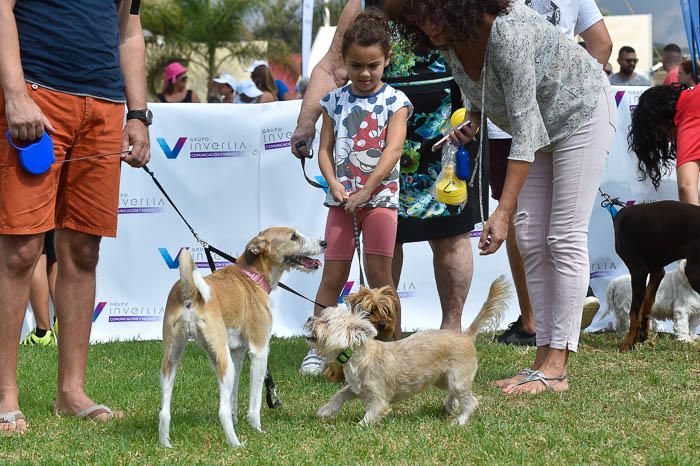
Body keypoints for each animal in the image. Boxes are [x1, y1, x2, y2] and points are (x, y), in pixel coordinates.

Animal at [159, 227, 326, 448]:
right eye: (293, 237)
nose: (324, 243)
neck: (252, 276)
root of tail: (192, 292)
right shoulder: (259, 351)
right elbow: (255, 401)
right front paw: (257, 429)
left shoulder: (237, 353)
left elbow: (234, 396)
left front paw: (236, 418)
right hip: (222, 362)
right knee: (221, 411)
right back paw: (235, 444)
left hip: (172, 360)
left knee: (164, 411)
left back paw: (165, 443)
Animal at [304, 276, 512, 426]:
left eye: (326, 322)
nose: (309, 319)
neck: (357, 354)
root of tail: (466, 336)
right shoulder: (356, 388)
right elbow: (340, 394)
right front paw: (325, 411)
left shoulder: (378, 399)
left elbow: (370, 416)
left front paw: (358, 428)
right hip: (442, 379)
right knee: (455, 394)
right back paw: (449, 406)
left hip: (457, 379)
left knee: (471, 401)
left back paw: (460, 421)